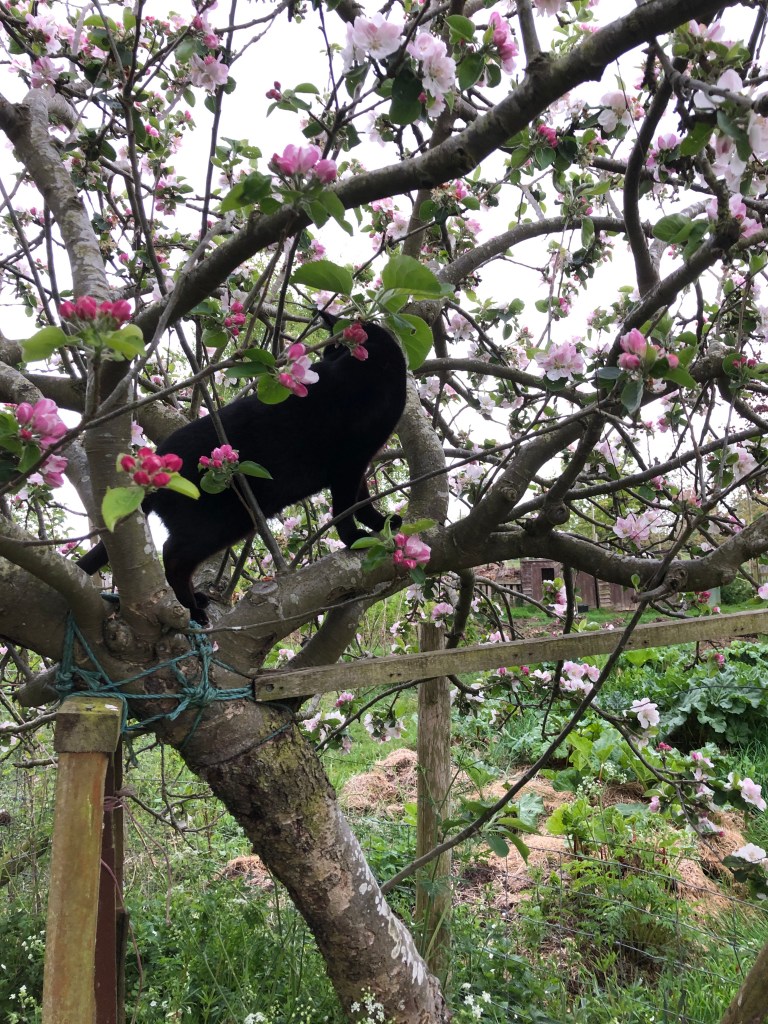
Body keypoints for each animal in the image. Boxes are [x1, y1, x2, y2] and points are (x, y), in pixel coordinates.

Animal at [78, 319, 407, 622]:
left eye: (332, 349)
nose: (324, 357)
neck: (377, 368)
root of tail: (155, 463)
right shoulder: (348, 464)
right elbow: (344, 508)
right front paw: (354, 538)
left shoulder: (359, 463)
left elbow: (361, 500)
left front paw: (381, 521)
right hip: (221, 523)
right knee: (173, 557)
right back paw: (191, 609)